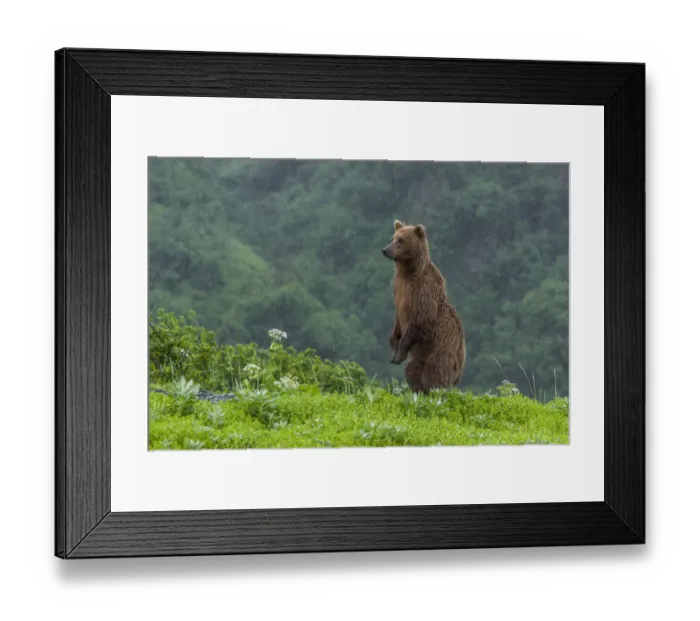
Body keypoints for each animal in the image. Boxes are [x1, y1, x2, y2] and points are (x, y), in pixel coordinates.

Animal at [382, 219, 466, 394]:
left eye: (400, 240)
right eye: (393, 237)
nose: (385, 250)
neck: (408, 271)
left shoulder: (423, 289)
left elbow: (420, 318)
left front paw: (399, 353)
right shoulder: (398, 287)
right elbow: (397, 321)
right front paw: (394, 350)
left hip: (442, 351)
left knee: (434, 375)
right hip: (422, 358)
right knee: (412, 370)